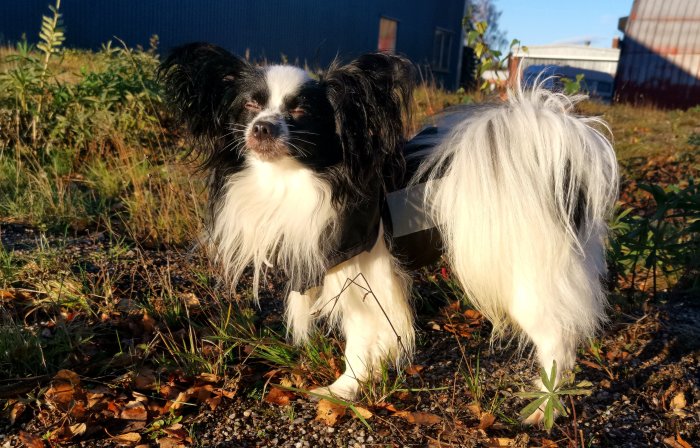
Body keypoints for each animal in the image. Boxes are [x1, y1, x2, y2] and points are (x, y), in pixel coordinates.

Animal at [160, 43, 616, 424]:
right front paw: (371, 374)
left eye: (302, 112)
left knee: (557, 340)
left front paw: (343, 389)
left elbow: (358, 341)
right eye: (250, 105)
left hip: (528, 282)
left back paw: (543, 407)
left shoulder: (362, 278)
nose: (262, 127)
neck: (302, 182)